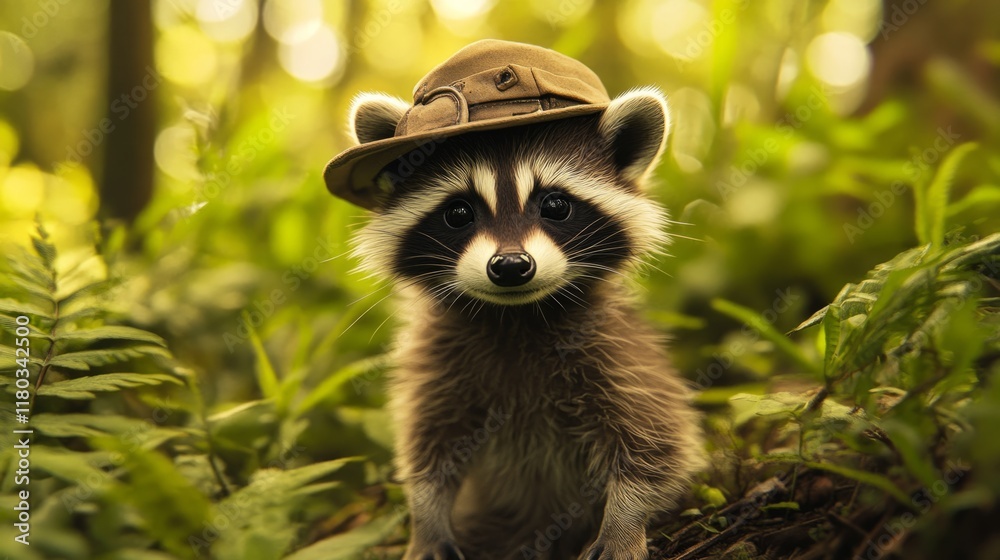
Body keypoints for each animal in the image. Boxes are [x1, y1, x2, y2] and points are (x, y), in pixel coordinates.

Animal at [343, 86, 706, 560]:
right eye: (458, 213)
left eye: (555, 205)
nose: (511, 266)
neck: (516, 314)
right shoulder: (437, 365)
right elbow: (427, 449)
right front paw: (426, 520)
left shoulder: (617, 353)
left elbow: (655, 440)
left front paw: (624, 522)